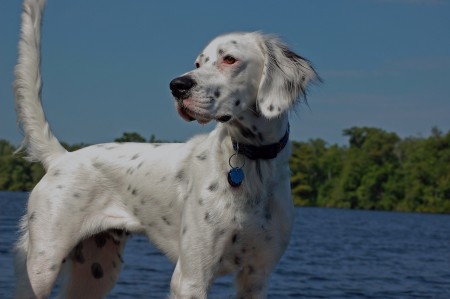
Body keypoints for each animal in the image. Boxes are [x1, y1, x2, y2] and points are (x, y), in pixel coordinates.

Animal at [14, 0, 320, 299]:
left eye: (229, 59)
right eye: (198, 62)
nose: (177, 86)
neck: (253, 163)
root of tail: (62, 157)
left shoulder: (256, 277)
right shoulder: (191, 277)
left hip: (96, 271)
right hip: (43, 264)